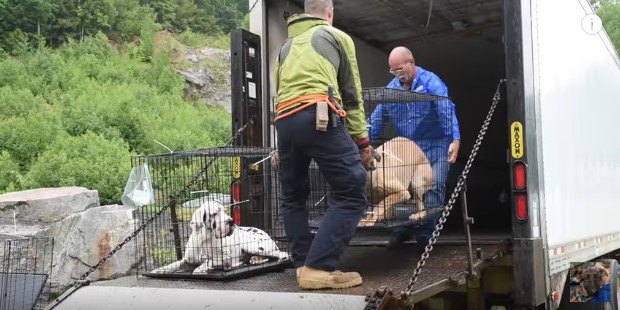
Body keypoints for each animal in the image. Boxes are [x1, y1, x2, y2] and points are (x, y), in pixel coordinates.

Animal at [151, 199, 290, 274]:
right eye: (214, 213)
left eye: (224, 211)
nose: (231, 221)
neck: (204, 240)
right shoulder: (186, 261)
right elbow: (172, 265)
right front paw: (158, 270)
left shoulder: (226, 258)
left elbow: (209, 261)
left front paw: (200, 269)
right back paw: (256, 259)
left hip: (252, 245)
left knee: (282, 253)